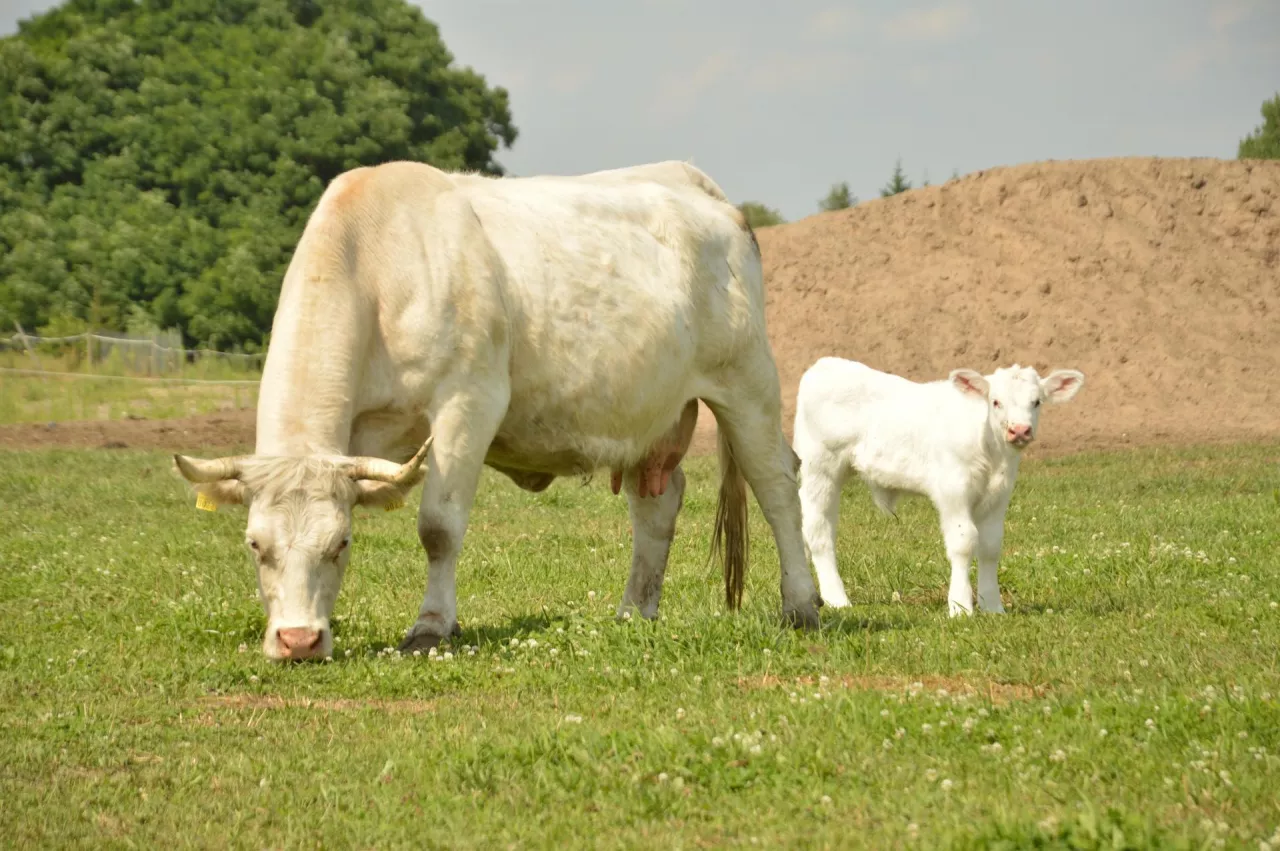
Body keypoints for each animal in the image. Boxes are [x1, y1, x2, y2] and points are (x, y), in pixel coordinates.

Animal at [170, 161, 819, 665]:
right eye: (254, 545)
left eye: (341, 544)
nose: (298, 641)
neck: (378, 265)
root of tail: (700, 187)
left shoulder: (469, 402)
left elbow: (438, 527)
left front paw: (431, 626)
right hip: (649, 412)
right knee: (657, 505)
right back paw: (635, 611)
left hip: (747, 381)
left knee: (777, 485)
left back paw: (802, 605)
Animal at [793, 358, 1085, 616]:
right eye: (996, 402)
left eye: (1036, 402)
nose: (1020, 430)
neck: (992, 454)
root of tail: (824, 365)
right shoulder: (953, 490)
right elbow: (964, 542)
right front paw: (960, 606)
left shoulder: (999, 495)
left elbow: (991, 546)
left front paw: (993, 606)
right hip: (820, 469)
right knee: (819, 532)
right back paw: (837, 599)